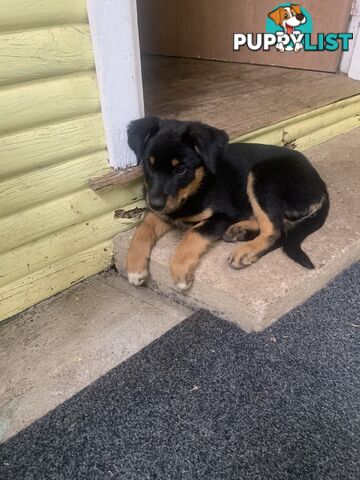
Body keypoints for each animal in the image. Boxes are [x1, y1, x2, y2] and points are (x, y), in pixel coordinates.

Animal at [126, 118, 330, 290]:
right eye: (149, 165)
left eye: (181, 170)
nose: (155, 204)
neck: (199, 185)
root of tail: (321, 184)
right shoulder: (164, 213)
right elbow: (142, 230)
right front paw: (134, 268)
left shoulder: (223, 215)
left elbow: (193, 233)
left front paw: (180, 270)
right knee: (283, 222)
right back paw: (240, 230)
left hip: (261, 174)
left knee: (277, 230)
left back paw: (246, 251)